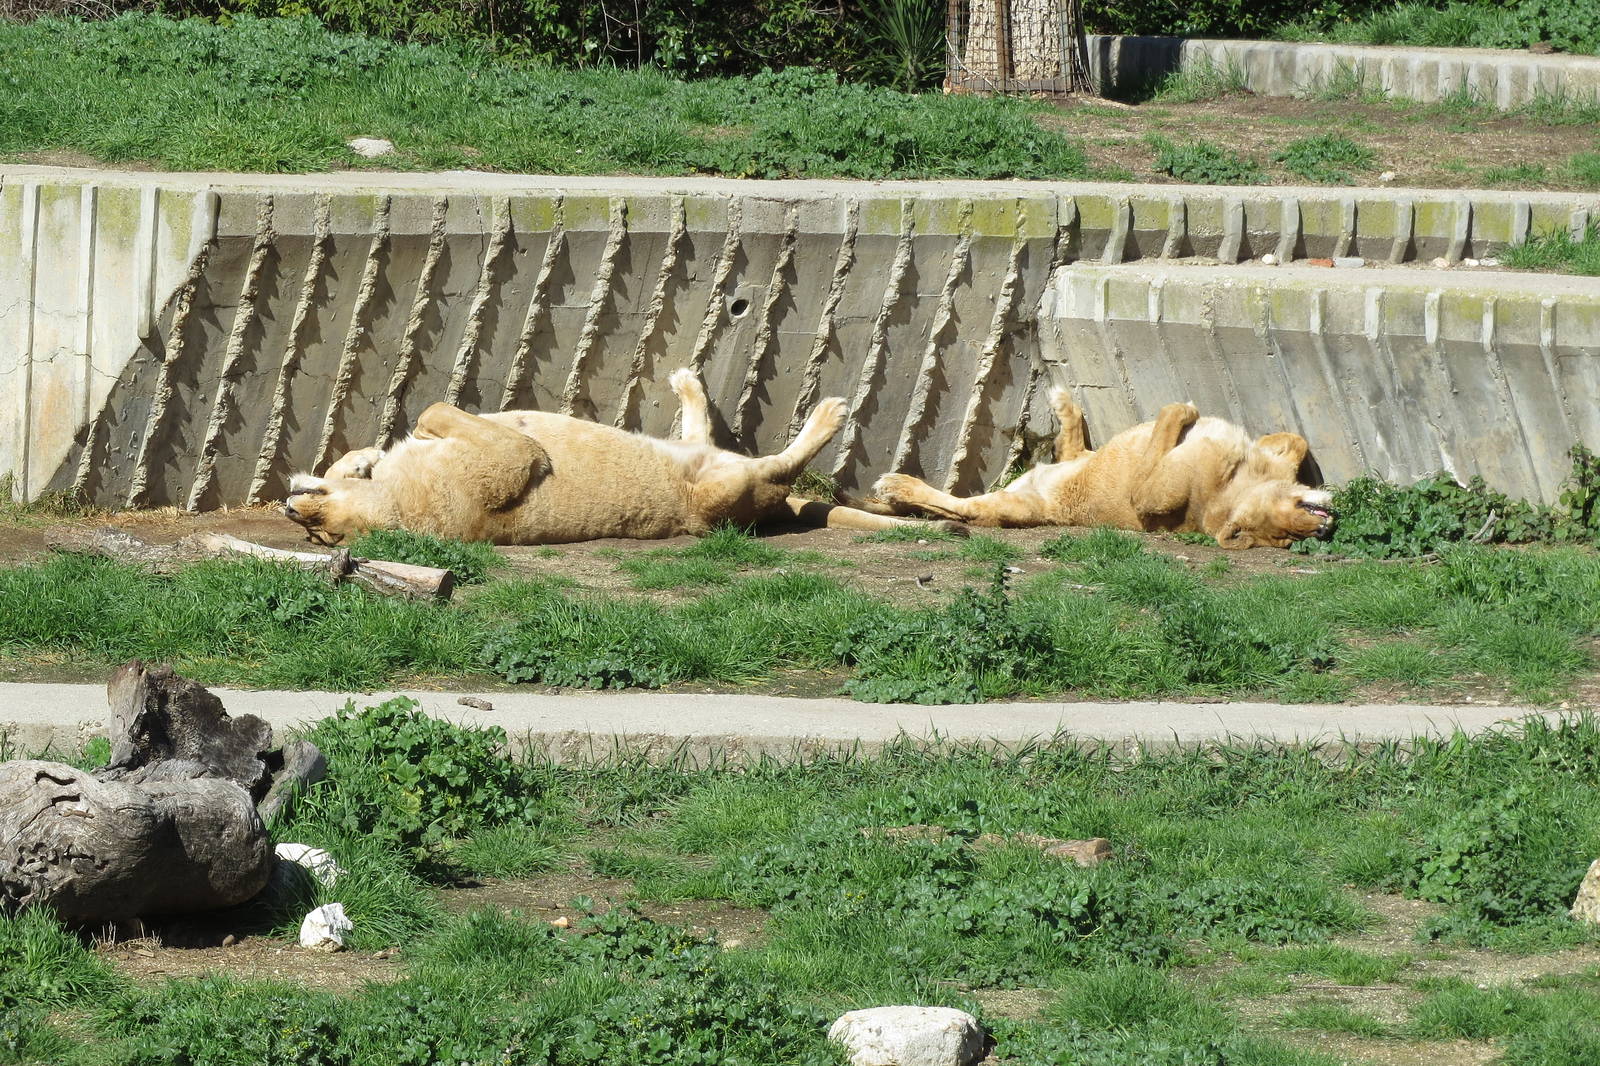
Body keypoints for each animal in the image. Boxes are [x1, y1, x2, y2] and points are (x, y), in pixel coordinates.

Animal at [283, 368, 962, 546]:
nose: (289, 505)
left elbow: (414, 419)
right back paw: (830, 414)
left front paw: (359, 455)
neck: (389, 508)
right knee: (775, 467)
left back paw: (686, 380)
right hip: (720, 495)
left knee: (702, 434)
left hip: (704, 462)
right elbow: (432, 406)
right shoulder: (513, 461)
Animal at [871, 389, 1334, 549]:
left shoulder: (1151, 498)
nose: (1323, 530)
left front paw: (1181, 409)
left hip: (1014, 507)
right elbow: (1296, 438)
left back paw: (897, 485)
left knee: (959, 508)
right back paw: (1065, 405)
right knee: (1072, 449)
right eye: (1288, 531)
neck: (1247, 481)